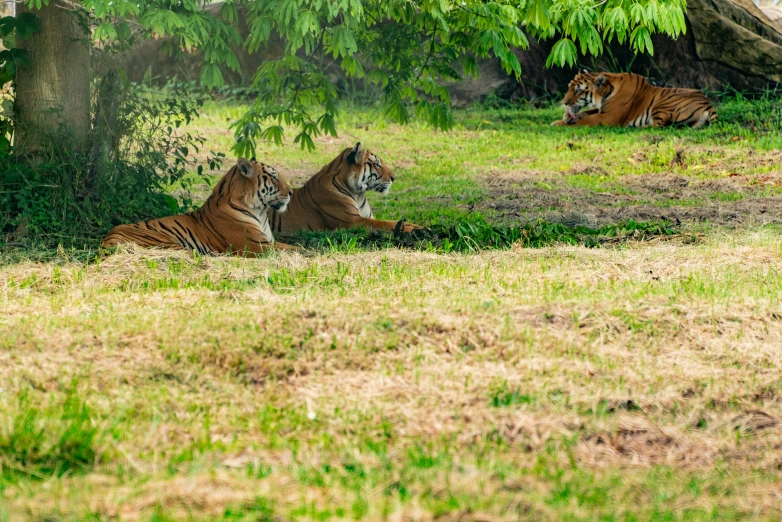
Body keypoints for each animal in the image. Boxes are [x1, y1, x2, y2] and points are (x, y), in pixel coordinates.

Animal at [102, 158, 302, 256]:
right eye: (274, 177)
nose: (292, 192)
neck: (260, 212)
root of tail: (105, 241)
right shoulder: (259, 246)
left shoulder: (272, 242)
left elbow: (297, 247)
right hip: (168, 243)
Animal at [268, 141, 422, 233]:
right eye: (377, 164)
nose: (393, 177)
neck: (358, 193)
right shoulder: (353, 221)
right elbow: (384, 223)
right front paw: (412, 228)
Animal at [552, 70, 716, 128]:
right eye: (569, 88)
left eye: (578, 91)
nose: (564, 103)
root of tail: (708, 104)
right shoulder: (601, 110)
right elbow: (586, 112)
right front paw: (567, 117)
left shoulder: (607, 117)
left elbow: (585, 119)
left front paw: (557, 123)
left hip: (662, 105)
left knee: (660, 125)